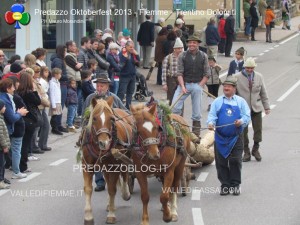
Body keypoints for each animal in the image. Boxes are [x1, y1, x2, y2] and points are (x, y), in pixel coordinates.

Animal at [81, 96, 134, 225]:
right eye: (94, 118)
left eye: (111, 119)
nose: (103, 143)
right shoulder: (87, 166)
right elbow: (88, 189)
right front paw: (88, 217)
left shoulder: (114, 167)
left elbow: (111, 189)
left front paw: (111, 215)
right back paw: (110, 204)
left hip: (124, 158)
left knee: (124, 176)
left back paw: (125, 194)